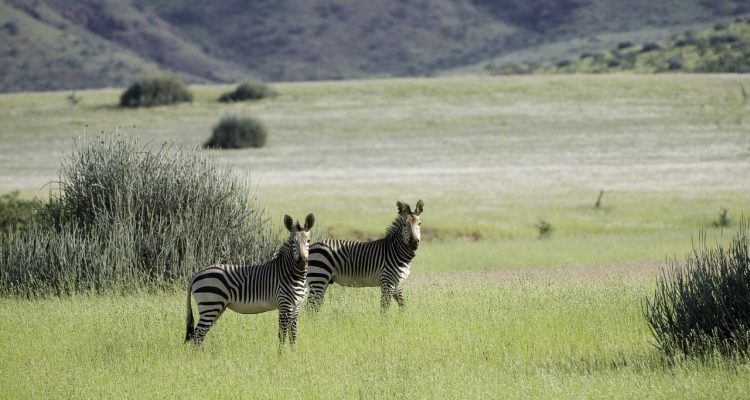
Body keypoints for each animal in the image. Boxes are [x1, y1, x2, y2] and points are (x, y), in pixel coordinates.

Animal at [188, 212, 318, 346]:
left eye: (308, 241)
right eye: (292, 241)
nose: (302, 262)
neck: (295, 276)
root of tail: (196, 275)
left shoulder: (296, 306)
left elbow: (293, 335)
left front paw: (292, 351)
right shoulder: (284, 304)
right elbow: (282, 335)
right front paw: (282, 352)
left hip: (216, 308)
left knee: (199, 337)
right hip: (210, 306)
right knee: (197, 336)